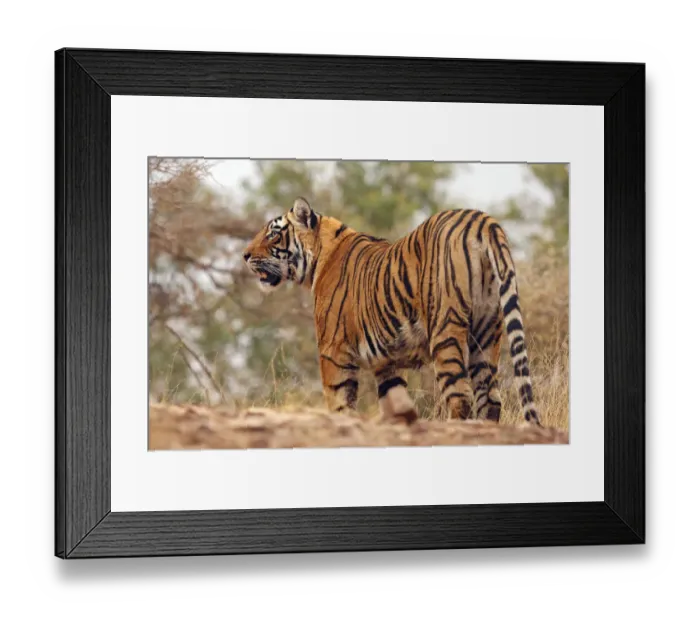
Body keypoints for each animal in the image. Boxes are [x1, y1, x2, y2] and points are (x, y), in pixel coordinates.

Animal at [242, 197, 541, 427]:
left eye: (273, 233)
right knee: (490, 399)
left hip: (446, 329)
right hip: (487, 333)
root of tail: (481, 220)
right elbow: (395, 402)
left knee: (460, 396)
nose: (245, 255)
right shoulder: (386, 361)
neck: (318, 259)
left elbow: (339, 404)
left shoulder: (333, 352)